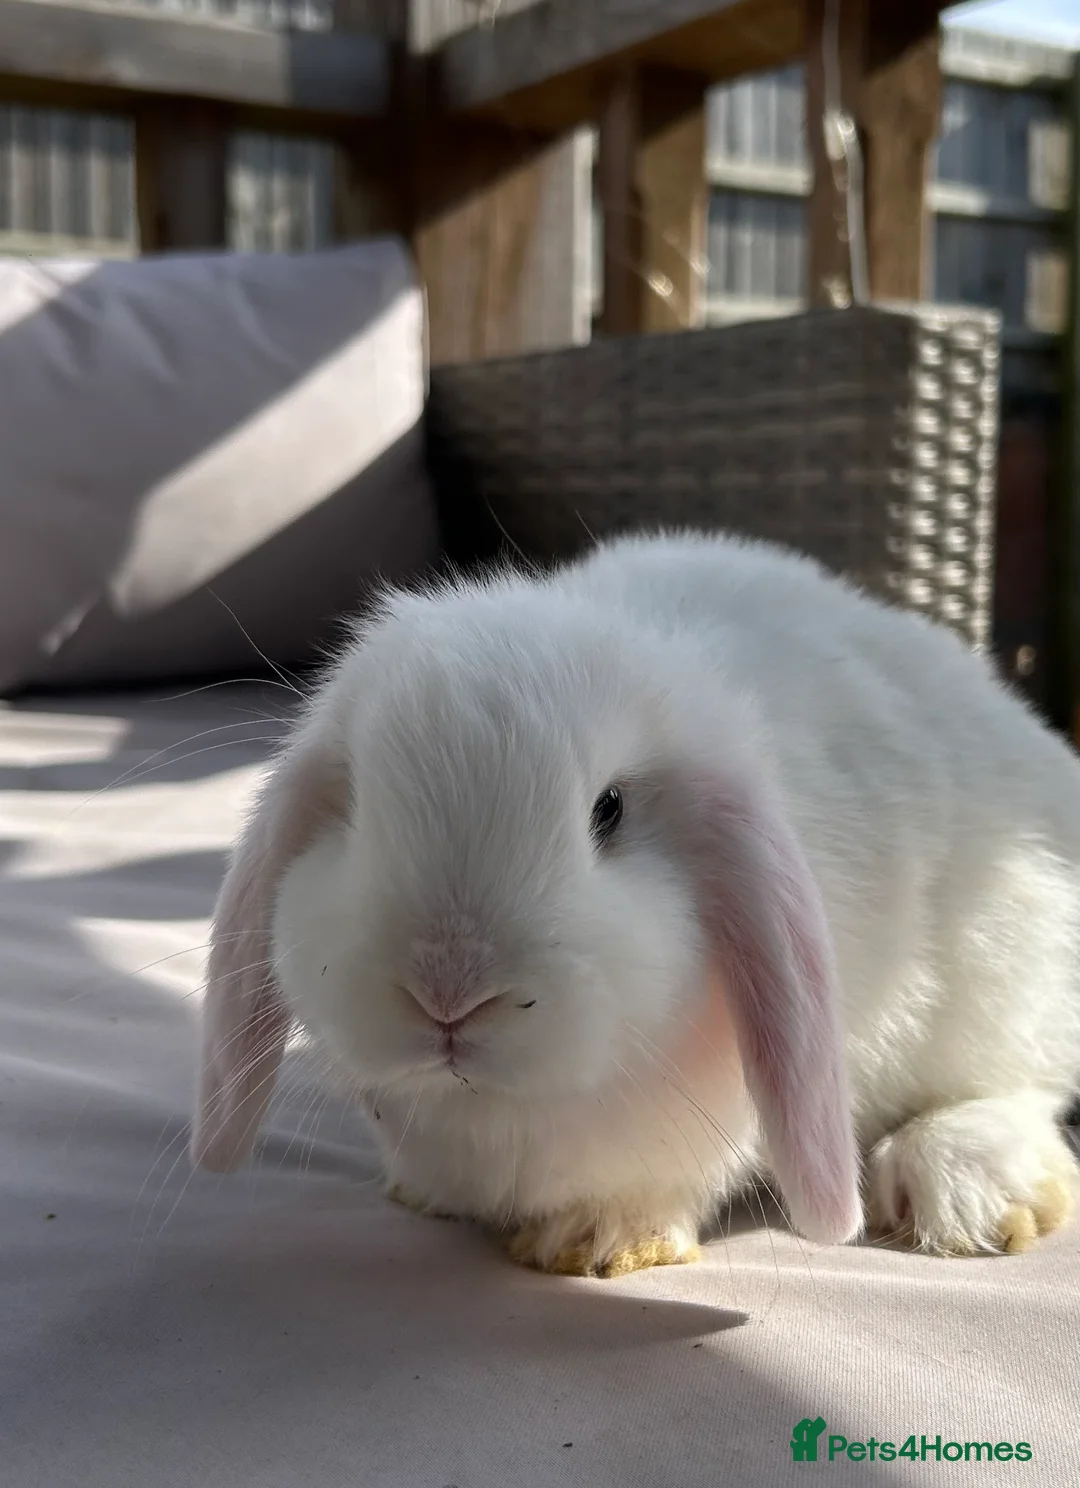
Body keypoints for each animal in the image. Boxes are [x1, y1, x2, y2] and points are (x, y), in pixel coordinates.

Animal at [189, 529, 1080, 1277]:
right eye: (355, 806)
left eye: (608, 810)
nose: (448, 990)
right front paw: (428, 1195)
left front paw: (595, 1241)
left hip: (1009, 978)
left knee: (1018, 1086)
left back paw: (967, 1192)